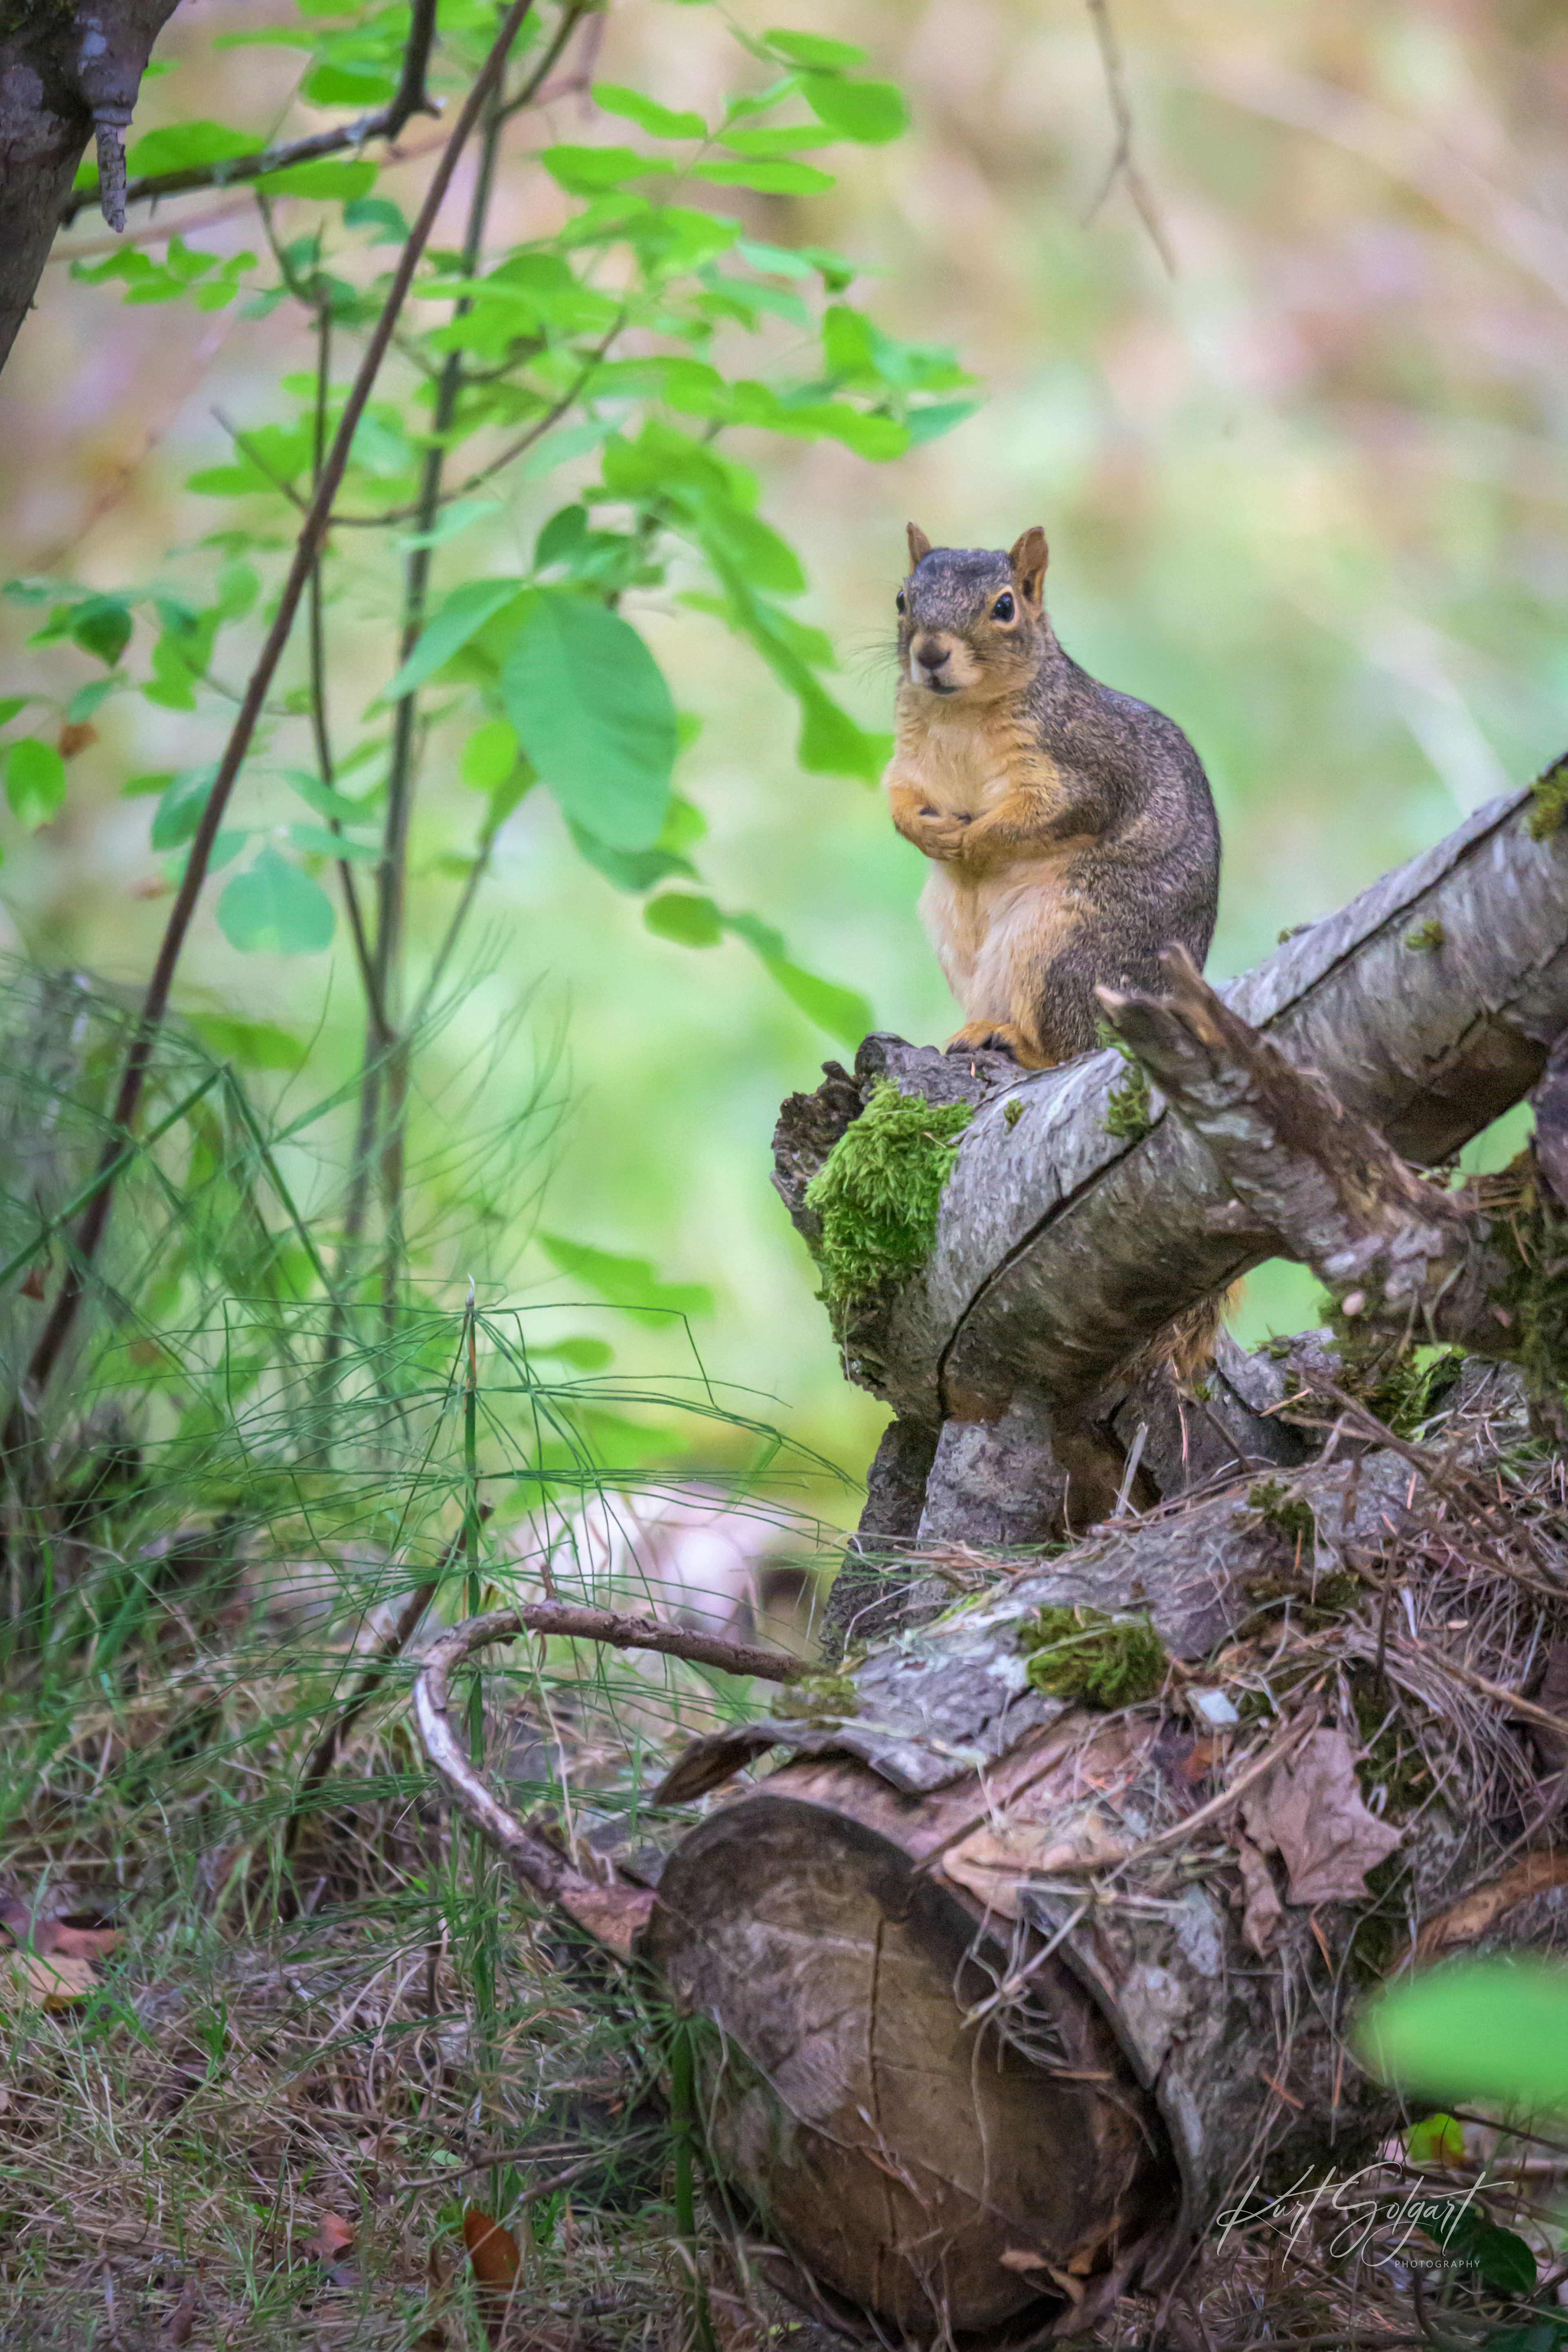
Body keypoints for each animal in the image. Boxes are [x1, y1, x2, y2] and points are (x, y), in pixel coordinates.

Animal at [884, 523, 1221, 1069]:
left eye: (1004, 607)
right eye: (901, 599)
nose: (931, 654)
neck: (959, 712)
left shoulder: (1088, 767)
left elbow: (1050, 813)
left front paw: (975, 842)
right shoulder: (909, 766)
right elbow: (898, 802)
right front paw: (929, 833)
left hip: (1065, 950)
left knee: (1072, 1045)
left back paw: (1013, 1040)